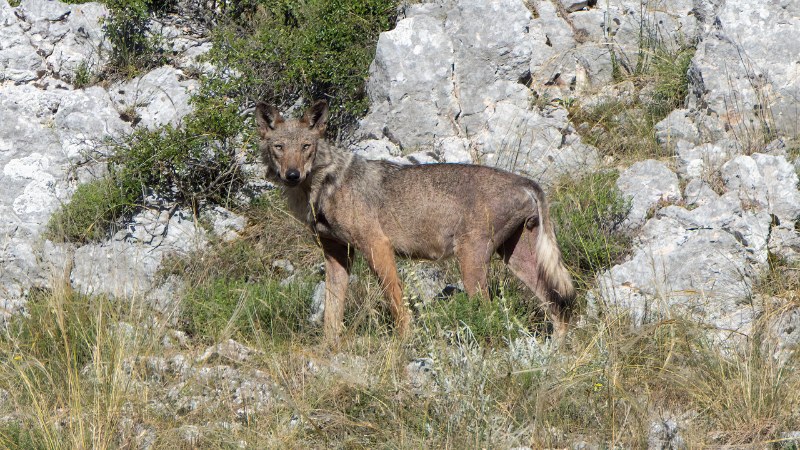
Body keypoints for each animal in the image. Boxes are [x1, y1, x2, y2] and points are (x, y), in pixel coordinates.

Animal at [256, 99, 575, 342]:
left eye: (306, 146)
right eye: (279, 147)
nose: (292, 175)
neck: (321, 188)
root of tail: (526, 181)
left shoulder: (377, 246)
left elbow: (397, 302)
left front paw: (405, 342)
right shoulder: (337, 255)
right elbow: (332, 314)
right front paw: (328, 349)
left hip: (471, 263)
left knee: (491, 311)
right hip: (516, 260)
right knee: (556, 306)